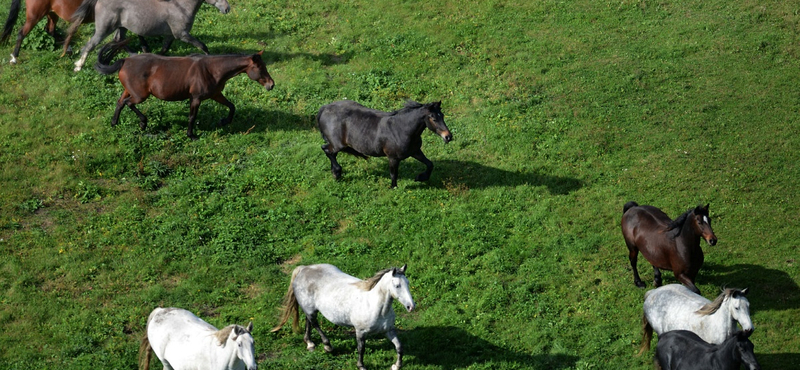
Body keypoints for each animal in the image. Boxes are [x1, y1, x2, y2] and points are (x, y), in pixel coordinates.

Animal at [64, 0, 230, 71]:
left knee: (119, 41)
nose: (227, 8)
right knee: (90, 45)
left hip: (121, 27)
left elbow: (164, 49)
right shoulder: (182, 34)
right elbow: (202, 45)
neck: (181, 7)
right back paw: (78, 66)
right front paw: (209, 58)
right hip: (104, 29)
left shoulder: (171, 35)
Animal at [93, 39, 274, 140]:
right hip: (140, 95)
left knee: (120, 102)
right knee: (129, 103)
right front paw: (191, 135)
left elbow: (232, 106)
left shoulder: (216, 94)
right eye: (260, 68)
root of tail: (125, 61)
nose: (271, 85)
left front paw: (224, 121)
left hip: (130, 91)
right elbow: (192, 117)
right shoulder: (196, 98)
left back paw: (114, 123)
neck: (212, 70)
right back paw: (143, 123)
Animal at [272, 264, 416, 370]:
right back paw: (327, 346)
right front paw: (361, 366)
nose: (411, 306)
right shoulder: (360, 332)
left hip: (311, 309)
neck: (375, 306)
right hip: (310, 309)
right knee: (314, 323)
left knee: (309, 321)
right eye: (397, 285)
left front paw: (396, 365)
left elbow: (399, 346)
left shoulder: (389, 330)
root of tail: (304, 269)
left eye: (408, 283)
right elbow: (361, 349)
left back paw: (310, 344)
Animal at [318, 99, 456, 188]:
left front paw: (420, 178)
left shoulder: (415, 151)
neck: (400, 129)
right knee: (327, 150)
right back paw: (336, 173)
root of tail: (324, 108)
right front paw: (394, 188)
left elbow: (430, 164)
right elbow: (393, 174)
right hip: (338, 145)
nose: (448, 136)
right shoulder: (393, 158)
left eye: (442, 115)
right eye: (433, 118)